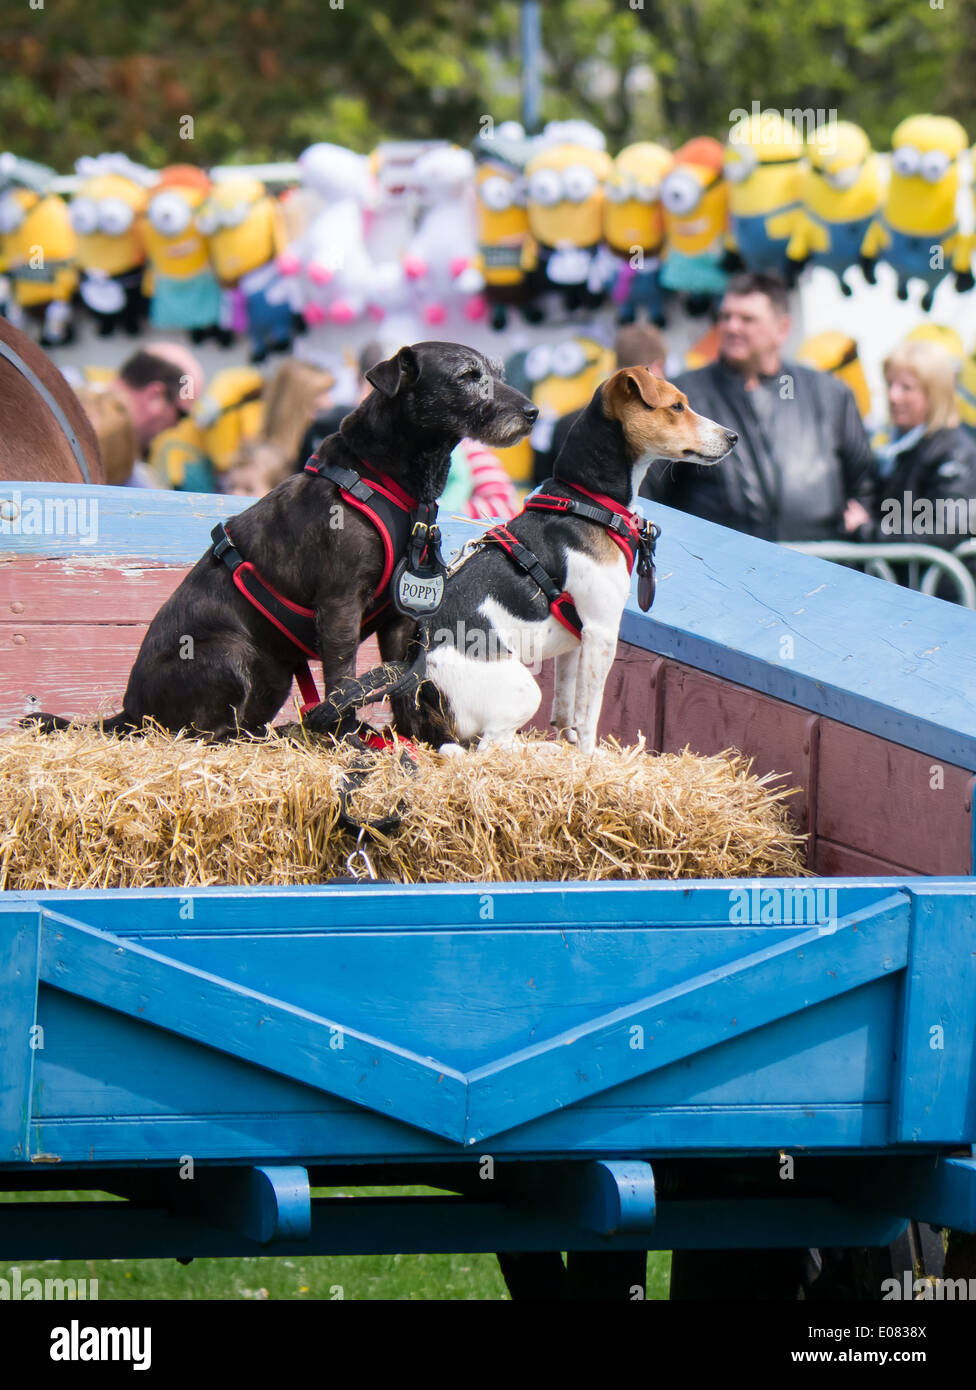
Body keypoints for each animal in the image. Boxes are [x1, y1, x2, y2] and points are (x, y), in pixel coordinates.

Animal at [30, 341, 539, 739]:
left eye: (497, 374)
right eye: (468, 377)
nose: (533, 412)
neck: (388, 478)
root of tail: (129, 712)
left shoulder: (401, 615)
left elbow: (403, 684)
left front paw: (411, 737)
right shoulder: (339, 605)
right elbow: (342, 682)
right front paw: (347, 736)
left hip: (272, 675)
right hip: (231, 653)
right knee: (203, 733)